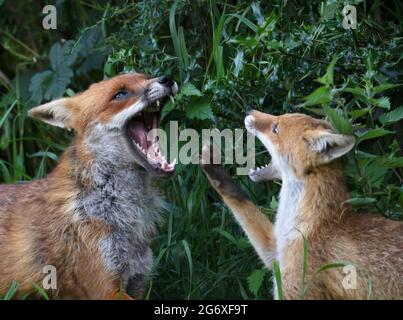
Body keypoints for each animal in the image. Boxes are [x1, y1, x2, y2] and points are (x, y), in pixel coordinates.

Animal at [202, 110, 403, 300]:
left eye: (275, 128)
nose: (249, 111)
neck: (311, 223)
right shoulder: (276, 253)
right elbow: (237, 197)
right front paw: (211, 164)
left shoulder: (294, 287)